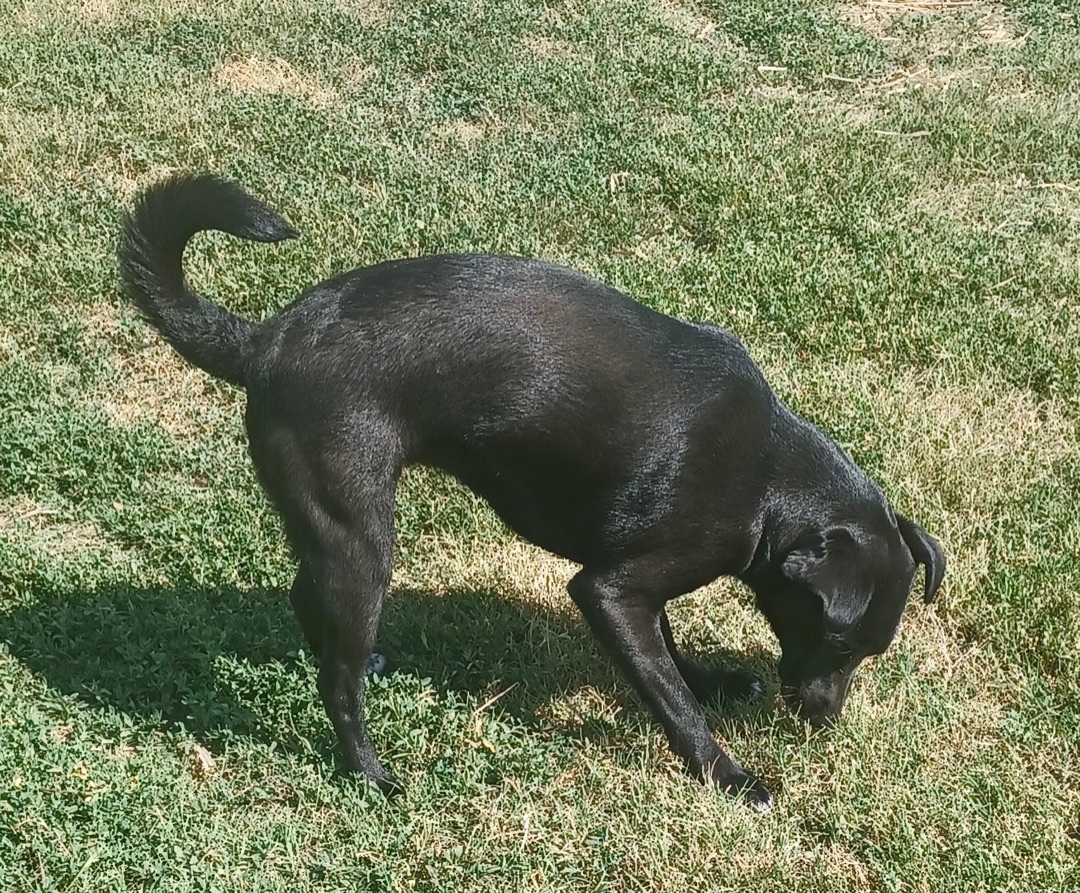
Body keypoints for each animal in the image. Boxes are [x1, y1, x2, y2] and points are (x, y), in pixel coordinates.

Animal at [119, 173, 944, 810]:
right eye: (839, 640)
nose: (822, 718)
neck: (770, 479)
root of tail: (264, 342)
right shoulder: (611, 589)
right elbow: (670, 699)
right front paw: (730, 776)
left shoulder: (637, 586)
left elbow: (673, 658)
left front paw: (711, 681)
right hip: (358, 533)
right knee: (338, 682)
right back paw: (371, 774)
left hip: (331, 531)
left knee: (308, 604)